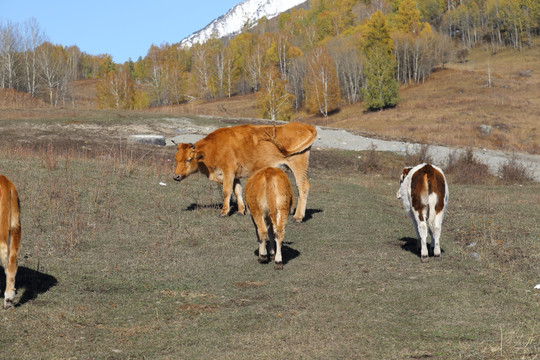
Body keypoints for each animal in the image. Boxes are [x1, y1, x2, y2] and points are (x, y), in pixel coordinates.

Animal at [173, 122, 316, 221]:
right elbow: (237, 191)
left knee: (303, 187)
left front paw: (224, 212)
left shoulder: (228, 171)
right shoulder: (235, 175)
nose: (176, 176)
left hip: (298, 165)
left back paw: (298, 217)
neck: (212, 149)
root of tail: (304, 125)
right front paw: (241, 211)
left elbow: (226, 192)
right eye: (176, 158)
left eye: (188, 159)